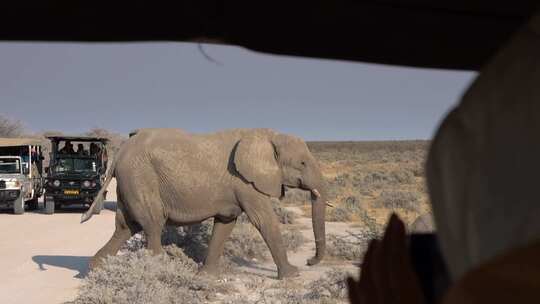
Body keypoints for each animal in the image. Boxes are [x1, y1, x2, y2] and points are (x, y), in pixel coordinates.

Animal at [81, 127, 326, 280]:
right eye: (302, 163)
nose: (309, 261)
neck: (269, 136)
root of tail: (120, 151)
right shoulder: (245, 182)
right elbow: (264, 220)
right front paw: (291, 275)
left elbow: (225, 224)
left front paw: (207, 276)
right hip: (140, 176)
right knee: (152, 224)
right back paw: (161, 269)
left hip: (130, 181)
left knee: (125, 227)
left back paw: (95, 271)